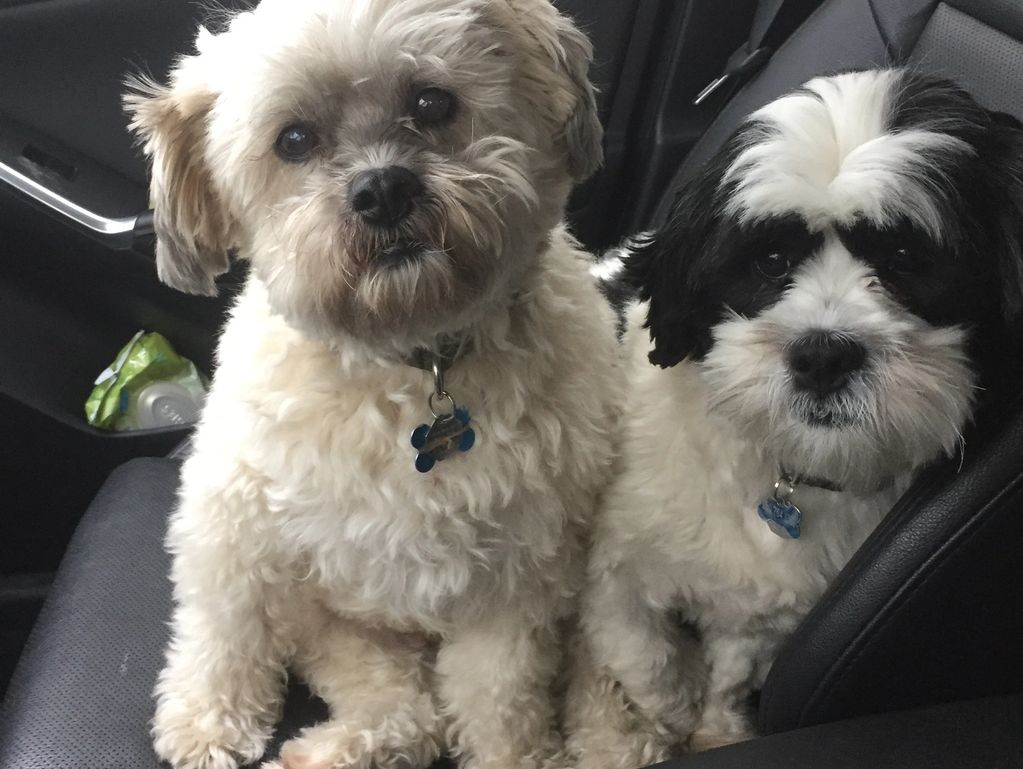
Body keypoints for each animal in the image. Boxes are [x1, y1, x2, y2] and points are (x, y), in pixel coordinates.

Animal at [126, 1, 613, 769]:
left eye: (432, 101)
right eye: (293, 139)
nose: (382, 188)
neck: (411, 359)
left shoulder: (519, 575)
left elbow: (498, 696)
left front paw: (515, 754)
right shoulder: (233, 513)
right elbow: (225, 624)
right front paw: (207, 719)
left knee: (425, 714)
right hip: (332, 626)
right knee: (404, 706)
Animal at [568, 69, 1023, 764]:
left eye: (903, 258)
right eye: (770, 262)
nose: (823, 354)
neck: (784, 465)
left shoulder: (764, 614)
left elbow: (729, 671)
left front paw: (714, 727)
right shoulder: (614, 571)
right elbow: (646, 658)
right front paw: (659, 718)